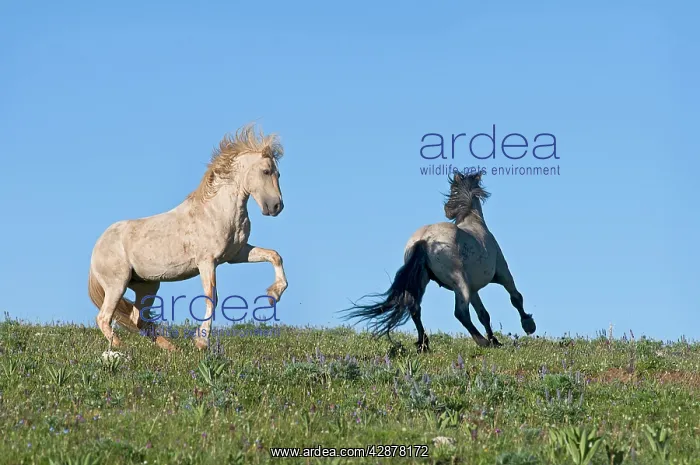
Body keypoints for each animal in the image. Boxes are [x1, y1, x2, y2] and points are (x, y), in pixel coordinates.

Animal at [87, 123, 288, 351]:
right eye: (266, 171)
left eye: (278, 173)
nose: (276, 206)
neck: (217, 211)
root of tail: (97, 248)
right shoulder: (207, 261)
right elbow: (211, 297)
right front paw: (201, 341)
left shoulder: (236, 255)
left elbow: (275, 256)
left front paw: (274, 295)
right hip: (117, 284)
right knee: (104, 317)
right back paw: (120, 345)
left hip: (147, 286)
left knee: (138, 319)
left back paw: (170, 347)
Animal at [343, 170, 535, 351]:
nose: (447, 210)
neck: (475, 222)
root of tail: (424, 240)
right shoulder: (503, 274)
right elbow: (515, 298)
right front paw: (528, 325)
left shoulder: (474, 289)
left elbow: (484, 315)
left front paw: (495, 341)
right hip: (459, 283)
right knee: (460, 313)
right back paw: (481, 341)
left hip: (424, 281)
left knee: (415, 309)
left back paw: (424, 345)